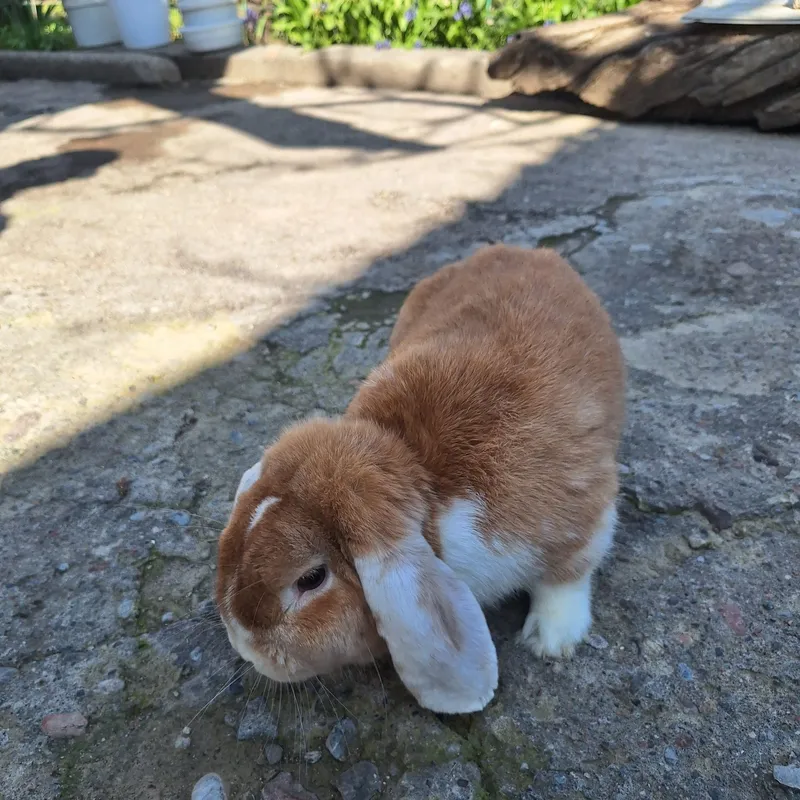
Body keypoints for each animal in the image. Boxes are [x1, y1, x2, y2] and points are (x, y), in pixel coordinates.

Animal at [216, 244, 626, 715]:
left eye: (311, 579)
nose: (245, 649)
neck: (415, 468)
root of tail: (517, 250)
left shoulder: (582, 508)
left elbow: (569, 574)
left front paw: (550, 640)